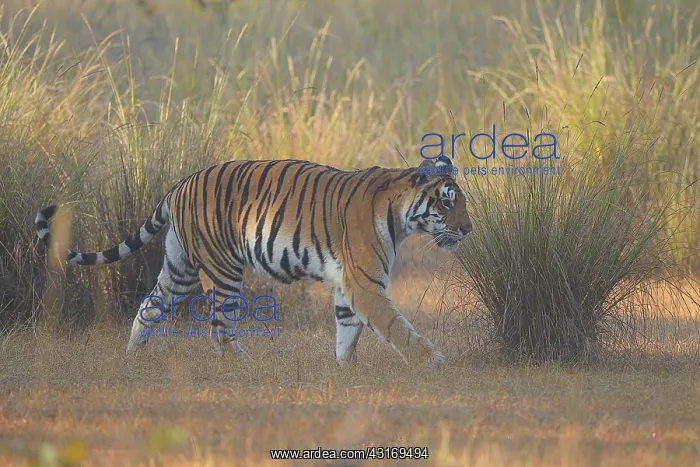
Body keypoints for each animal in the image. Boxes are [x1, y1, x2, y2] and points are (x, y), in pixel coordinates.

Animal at [35, 155, 472, 367]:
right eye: (447, 202)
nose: (468, 229)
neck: (401, 216)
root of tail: (181, 183)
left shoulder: (350, 284)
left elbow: (347, 330)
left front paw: (344, 370)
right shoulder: (366, 283)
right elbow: (396, 326)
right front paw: (431, 361)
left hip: (178, 268)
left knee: (149, 305)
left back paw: (133, 356)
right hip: (222, 270)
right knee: (218, 328)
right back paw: (245, 365)